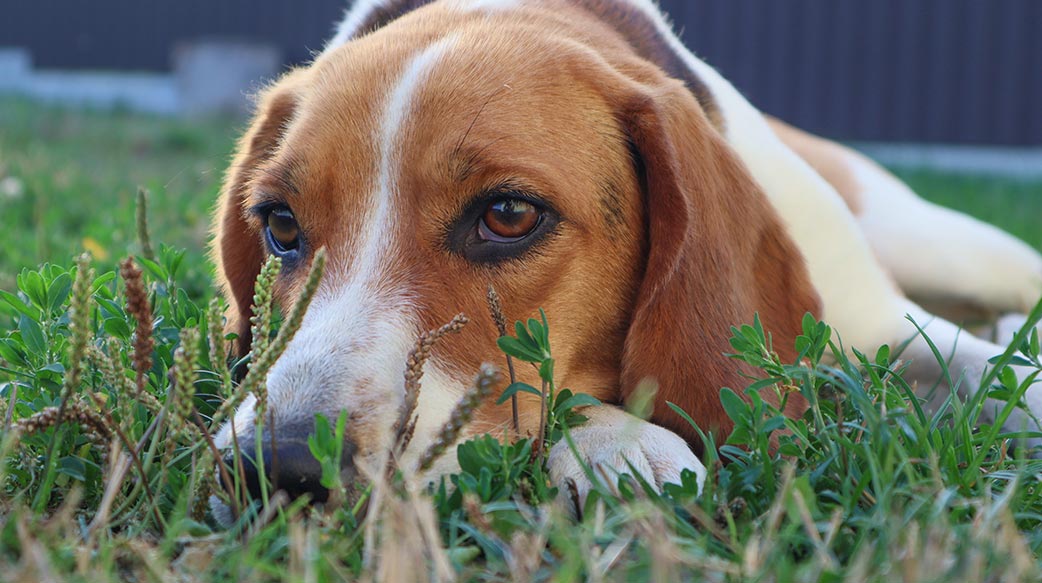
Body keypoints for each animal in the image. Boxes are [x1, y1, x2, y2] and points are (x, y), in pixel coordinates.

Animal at [207, 0, 1042, 518]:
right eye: (280, 223)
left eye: (509, 215)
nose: (276, 467)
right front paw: (618, 439)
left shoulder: (881, 323)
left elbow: (996, 377)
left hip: (954, 248)